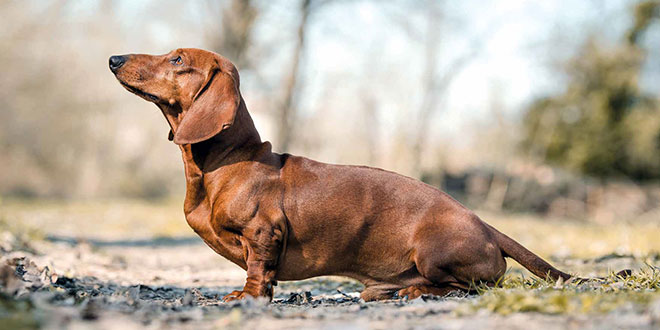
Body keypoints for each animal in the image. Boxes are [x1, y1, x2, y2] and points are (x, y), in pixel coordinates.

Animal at [108, 48, 620, 302]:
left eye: (177, 59)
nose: (115, 59)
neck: (224, 163)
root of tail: (486, 225)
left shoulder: (264, 232)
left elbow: (258, 270)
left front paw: (246, 297)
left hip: (435, 252)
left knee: (466, 286)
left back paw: (410, 293)